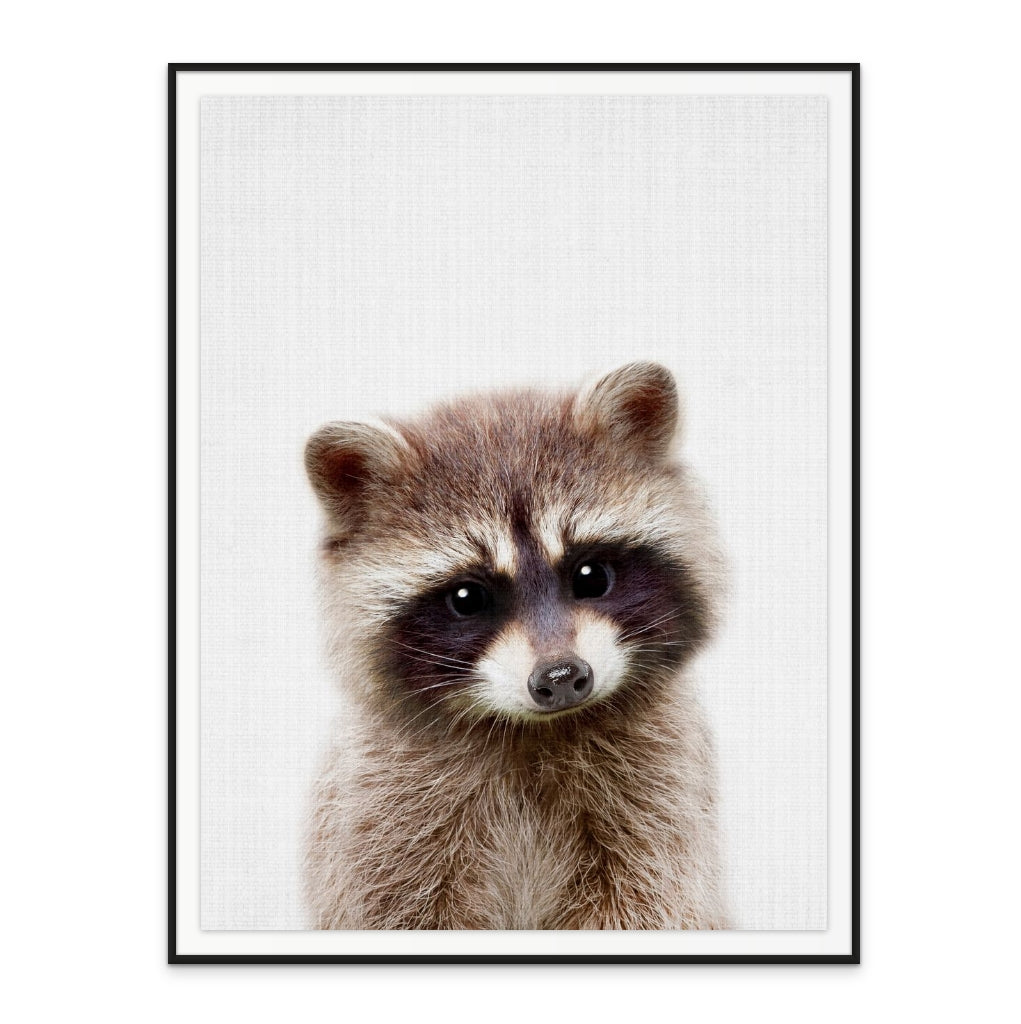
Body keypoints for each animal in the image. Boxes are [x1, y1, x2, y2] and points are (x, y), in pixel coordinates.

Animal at [304, 362, 729, 930]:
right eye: (467, 597)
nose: (561, 677)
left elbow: (649, 899)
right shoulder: (379, 813)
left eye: (591, 576)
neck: (533, 731)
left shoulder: (661, 796)